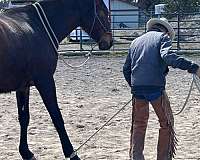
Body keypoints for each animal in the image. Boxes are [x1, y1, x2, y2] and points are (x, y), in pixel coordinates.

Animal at [0, 0, 112, 159]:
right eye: (103, 12)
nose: (109, 41)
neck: (36, 25)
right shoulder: (45, 81)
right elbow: (57, 117)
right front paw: (71, 153)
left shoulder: (23, 87)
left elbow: (24, 118)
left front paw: (26, 152)